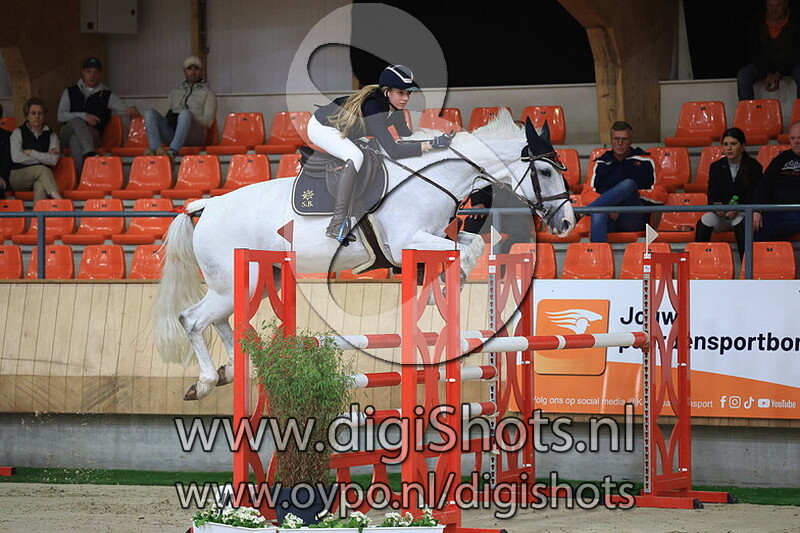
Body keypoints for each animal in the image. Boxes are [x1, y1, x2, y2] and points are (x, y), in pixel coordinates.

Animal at [153, 111, 576, 400]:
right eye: (544, 171)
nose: (568, 222)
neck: (432, 179)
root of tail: (207, 206)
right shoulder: (407, 241)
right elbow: (461, 252)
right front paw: (447, 290)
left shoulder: (428, 237)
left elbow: (466, 247)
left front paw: (441, 290)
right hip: (234, 280)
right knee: (192, 320)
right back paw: (205, 382)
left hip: (252, 278)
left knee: (223, 322)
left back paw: (235, 372)